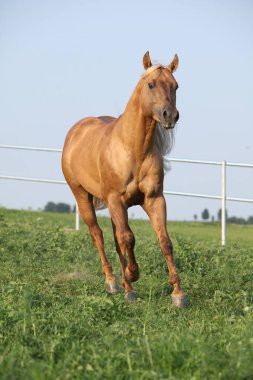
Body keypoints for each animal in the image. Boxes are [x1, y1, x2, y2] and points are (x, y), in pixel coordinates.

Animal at [61, 50, 188, 308]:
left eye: (176, 85)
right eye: (151, 84)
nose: (170, 115)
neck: (134, 150)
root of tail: (76, 131)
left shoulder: (154, 199)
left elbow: (164, 241)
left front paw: (179, 294)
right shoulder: (116, 200)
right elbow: (128, 239)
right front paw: (132, 274)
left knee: (115, 237)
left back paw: (126, 286)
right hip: (82, 196)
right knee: (98, 235)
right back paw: (113, 282)